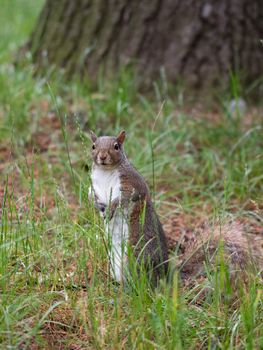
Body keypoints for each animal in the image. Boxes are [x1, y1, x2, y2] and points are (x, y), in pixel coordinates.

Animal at [87, 131, 168, 284]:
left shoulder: (132, 184)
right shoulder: (94, 187)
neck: (105, 171)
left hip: (136, 254)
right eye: (93, 146)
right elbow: (92, 196)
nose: (102, 156)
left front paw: (111, 208)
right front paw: (97, 205)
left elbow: (123, 198)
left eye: (116, 146)